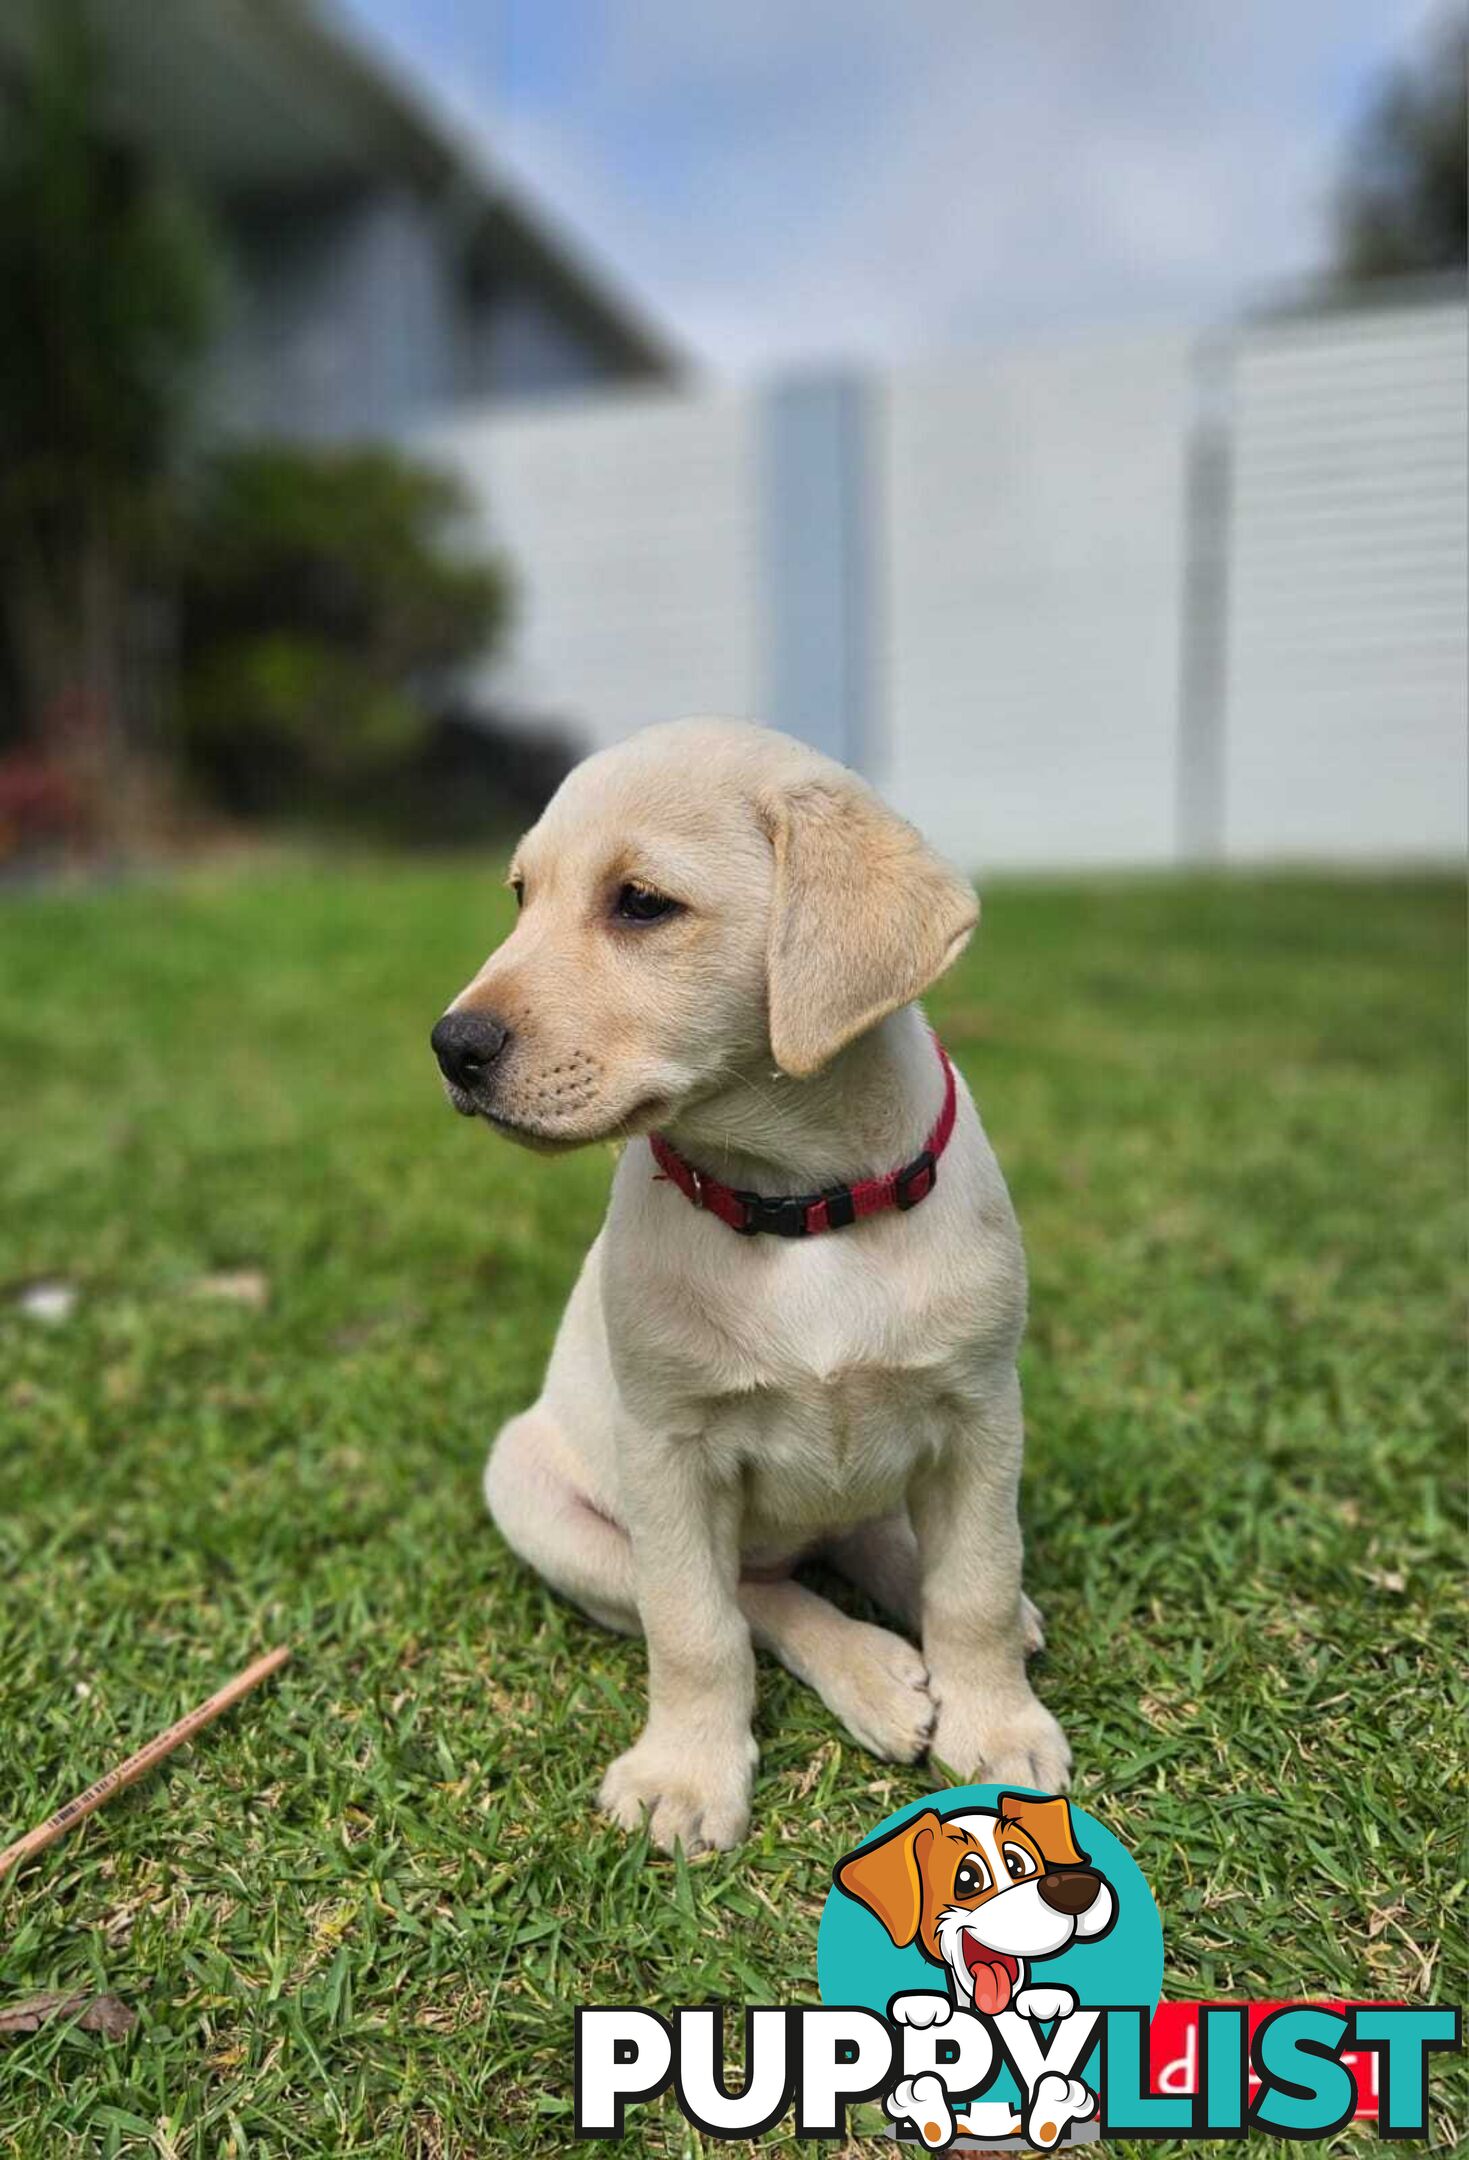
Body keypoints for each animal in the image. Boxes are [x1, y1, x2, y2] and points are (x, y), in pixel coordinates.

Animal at [427, 717, 1067, 1848]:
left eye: (641, 903)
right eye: (519, 895)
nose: (451, 1046)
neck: (799, 1205)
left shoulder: (981, 1414)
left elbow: (976, 1588)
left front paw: (996, 1726)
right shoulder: (668, 1452)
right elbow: (695, 1627)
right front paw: (686, 1775)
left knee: (873, 1539)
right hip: (540, 1499)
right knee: (754, 1596)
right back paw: (873, 1670)